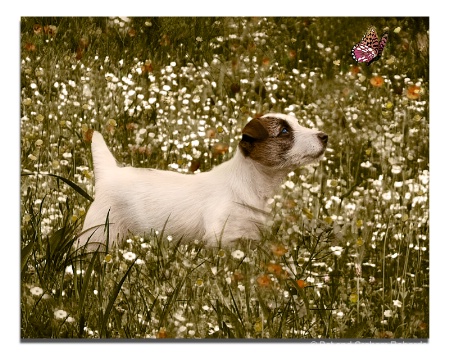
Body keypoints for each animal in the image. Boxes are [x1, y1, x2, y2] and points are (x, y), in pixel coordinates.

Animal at [78, 114, 326, 250]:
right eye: (284, 131)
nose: (325, 136)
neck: (249, 181)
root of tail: (109, 175)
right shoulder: (222, 238)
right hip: (99, 234)